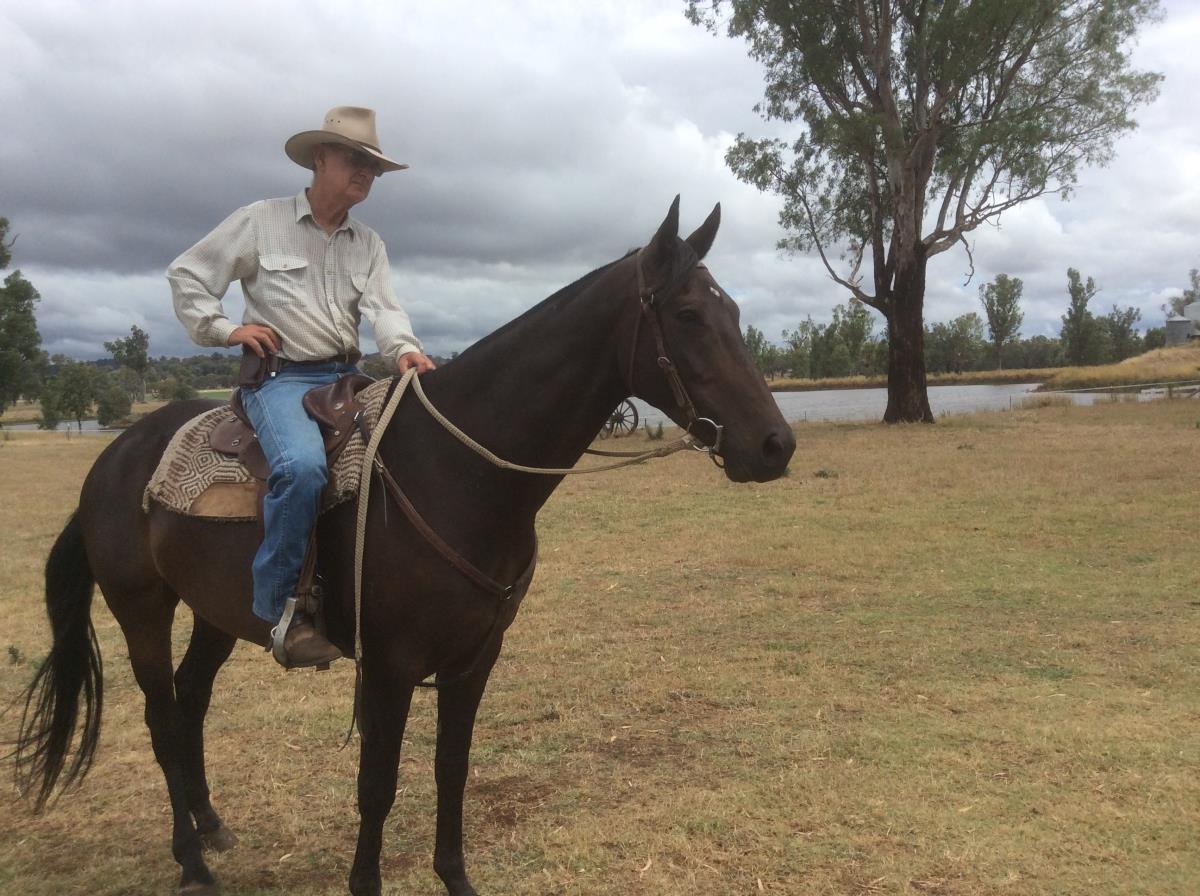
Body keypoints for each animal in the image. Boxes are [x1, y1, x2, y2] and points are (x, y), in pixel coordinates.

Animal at [14, 197, 796, 896]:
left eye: (733, 314)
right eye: (688, 316)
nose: (774, 445)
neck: (457, 471)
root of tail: (114, 457)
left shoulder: (474, 658)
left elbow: (452, 766)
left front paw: (456, 878)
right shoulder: (389, 666)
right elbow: (378, 785)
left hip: (215, 613)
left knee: (191, 698)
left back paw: (212, 827)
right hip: (141, 608)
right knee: (161, 717)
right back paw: (191, 861)